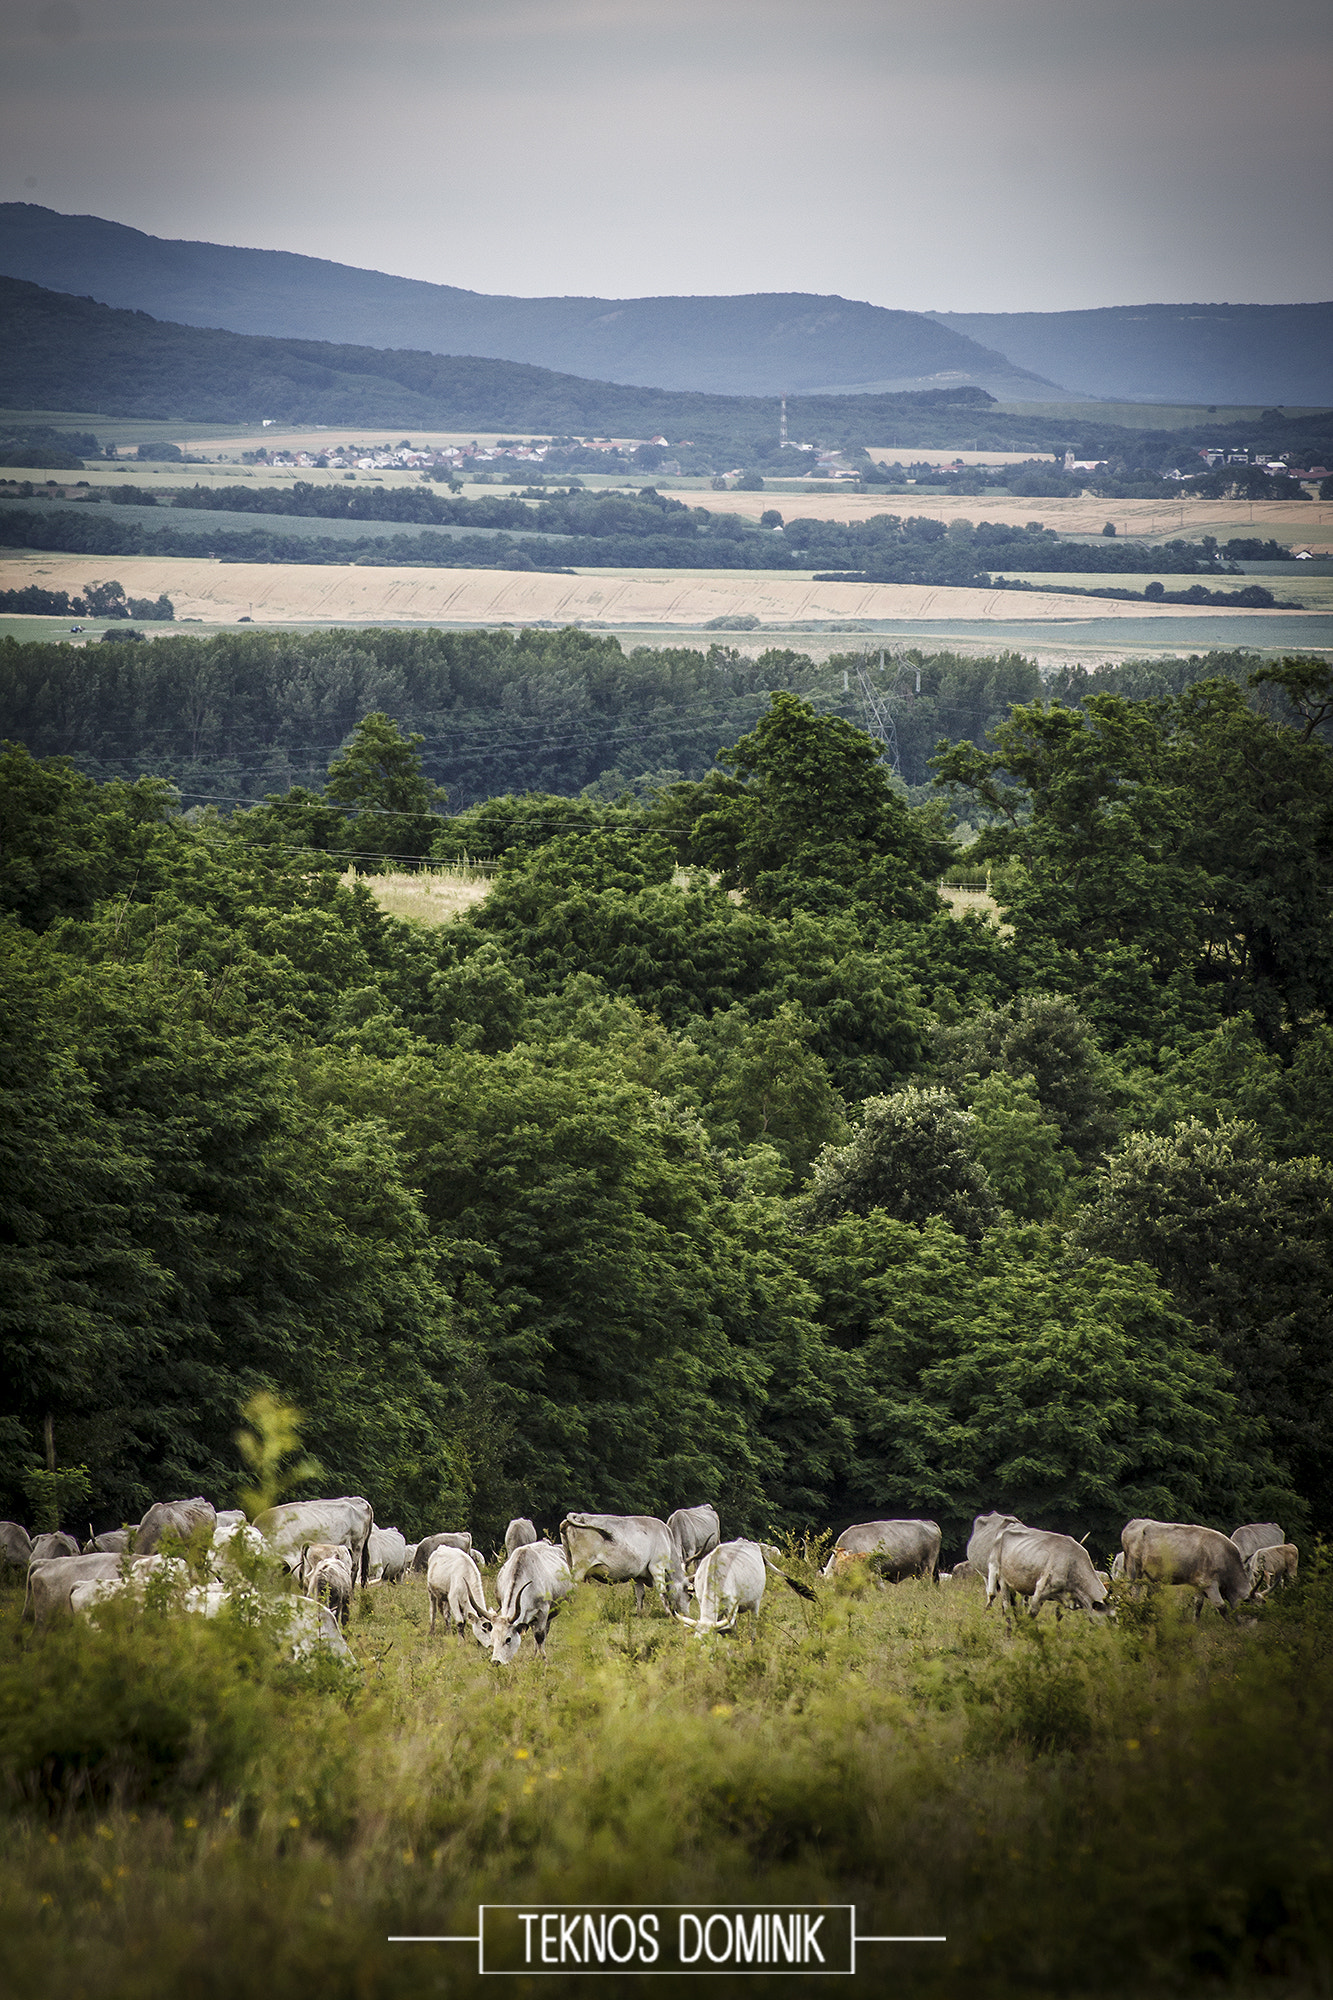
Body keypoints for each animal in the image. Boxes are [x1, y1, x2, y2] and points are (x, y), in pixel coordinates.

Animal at [488, 1536, 572, 1664]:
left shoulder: (543, 1612)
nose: (496, 1661)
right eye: (492, 1638)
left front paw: (544, 1661)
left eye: (508, 1639)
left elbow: (539, 1636)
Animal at [556, 1504, 688, 1616]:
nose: (686, 1614)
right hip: (580, 1567)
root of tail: (576, 1516)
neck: (667, 1539)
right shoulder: (657, 1566)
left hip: (570, 1562)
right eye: (690, 1595)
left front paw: (639, 1613)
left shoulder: (638, 1575)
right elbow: (662, 1591)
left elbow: (640, 1594)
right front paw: (669, 1614)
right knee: (572, 1588)